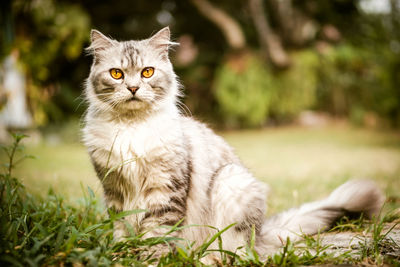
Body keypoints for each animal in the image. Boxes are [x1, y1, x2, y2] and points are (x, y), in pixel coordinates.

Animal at [83, 27, 386, 262]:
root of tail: (261, 234)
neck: (131, 129)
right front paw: (121, 254)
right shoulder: (115, 190)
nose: (133, 88)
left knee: (233, 254)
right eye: (117, 74)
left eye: (147, 73)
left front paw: (148, 259)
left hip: (230, 183)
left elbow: (157, 233)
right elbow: (122, 229)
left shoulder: (166, 191)